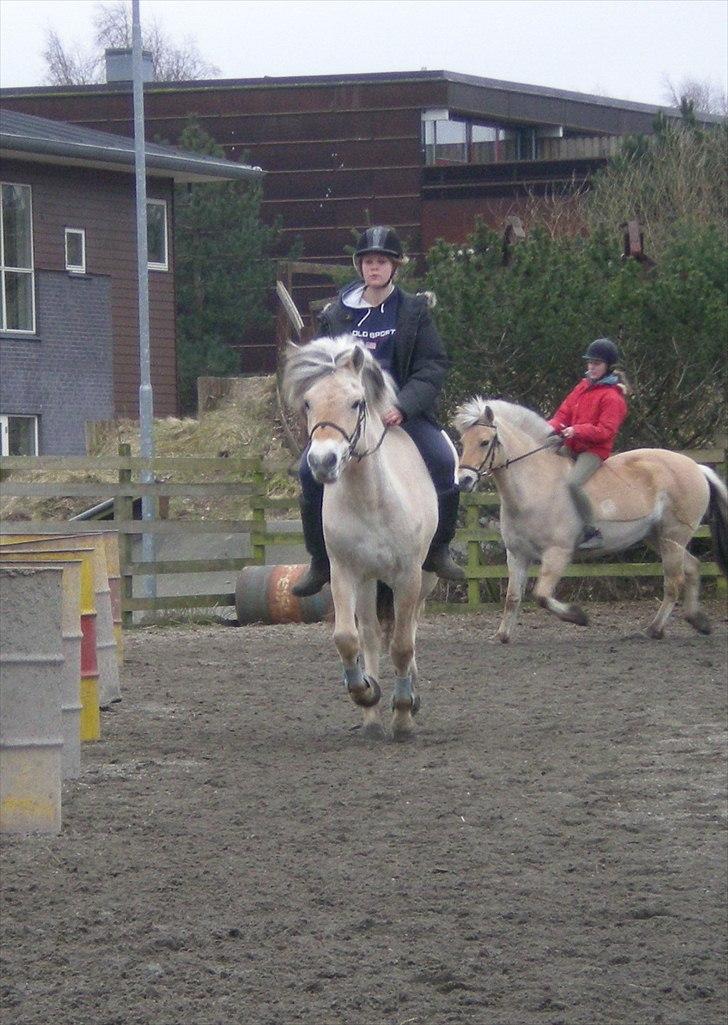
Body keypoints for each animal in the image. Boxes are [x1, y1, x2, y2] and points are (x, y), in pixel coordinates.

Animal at [282, 336, 436, 738]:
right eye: (308, 402)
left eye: (356, 402)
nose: (323, 462)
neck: (371, 499)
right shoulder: (345, 573)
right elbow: (346, 638)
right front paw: (365, 692)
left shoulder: (408, 576)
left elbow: (402, 645)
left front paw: (403, 713)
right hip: (368, 583)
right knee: (369, 632)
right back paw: (371, 716)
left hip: (423, 580)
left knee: (410, 630)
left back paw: (409, 698)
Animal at [453, 393, 725, 639]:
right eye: (463, 441)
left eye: (485, 442)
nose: (464, 480)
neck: (534, 487)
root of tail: (696, 467)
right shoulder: (517, 554)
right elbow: (512, 597)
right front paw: (503, 635)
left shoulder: (557, 553)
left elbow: (541, 596)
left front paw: (578, 616)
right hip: (656, 537)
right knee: (692, 568)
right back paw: (698, 621)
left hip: (673, 537)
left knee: (674, 582)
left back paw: (654, 630)